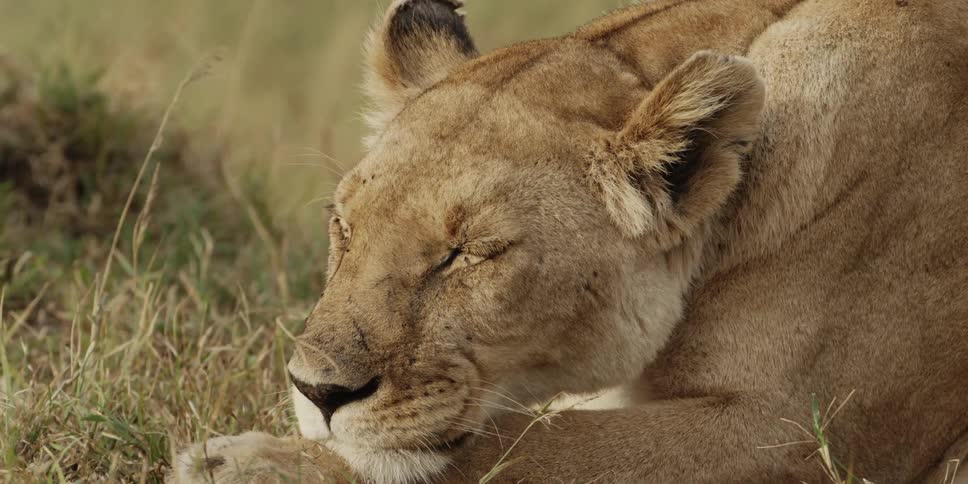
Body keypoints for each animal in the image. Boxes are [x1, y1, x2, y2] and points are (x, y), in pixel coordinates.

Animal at [172, 0, 968, 482]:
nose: (317, 391)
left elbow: (529, 450)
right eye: (344, 227)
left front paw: (251, 465)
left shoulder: (805, 437)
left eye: (469, 253)